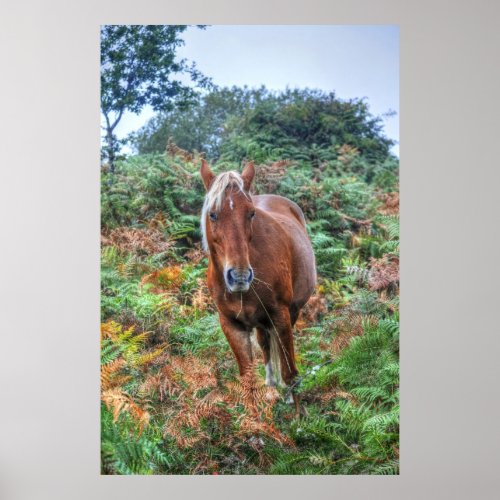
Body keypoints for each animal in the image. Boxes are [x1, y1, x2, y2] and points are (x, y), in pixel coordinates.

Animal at [200, 159, 314, 406]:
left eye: (251, 214)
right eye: (213, 214)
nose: (239, 276)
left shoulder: (280, 315)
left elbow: (290, 373)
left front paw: (298, 413)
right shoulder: (232, 325)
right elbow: (248, 381)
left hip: (291, 313)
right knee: (264, 344)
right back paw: (271, 386)